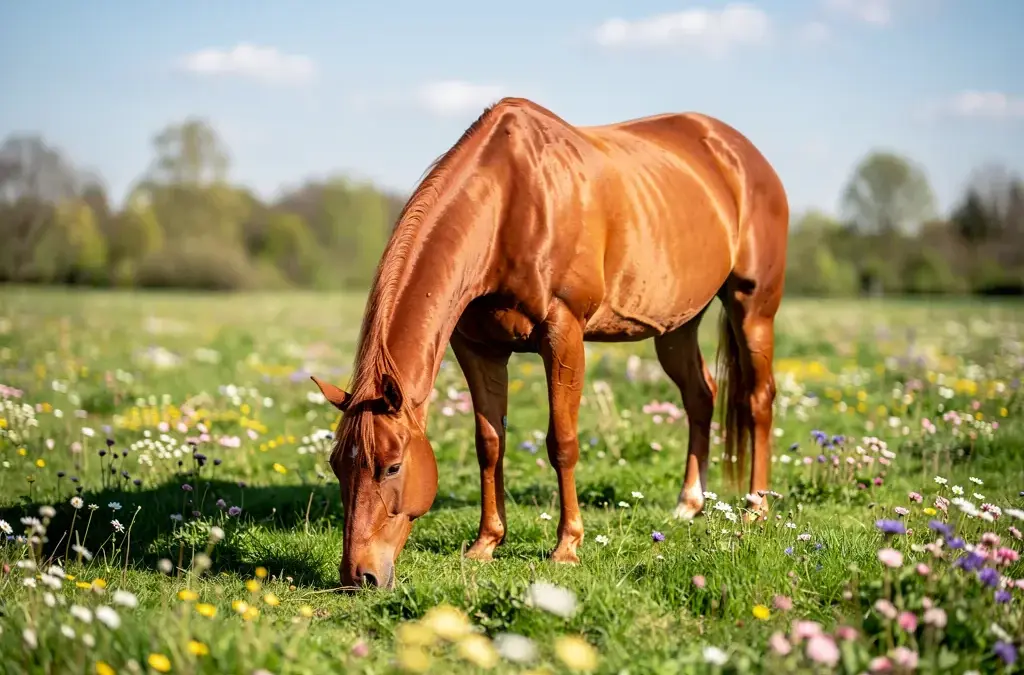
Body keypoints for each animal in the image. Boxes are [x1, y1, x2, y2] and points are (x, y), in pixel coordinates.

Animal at [311, 97, 789, 589]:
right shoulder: (478, 348)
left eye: (392, 466)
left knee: (758, 400)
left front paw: (567, 546)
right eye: (335, 464)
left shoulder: (564, 335)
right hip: (676, 326)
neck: (509, 203)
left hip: (752, 308)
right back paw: (688, 504)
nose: (358, 576)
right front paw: (486, 543)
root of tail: (739, 152)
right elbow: (490, 442)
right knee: (700, 396)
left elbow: (562, 442)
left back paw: (756, 509)